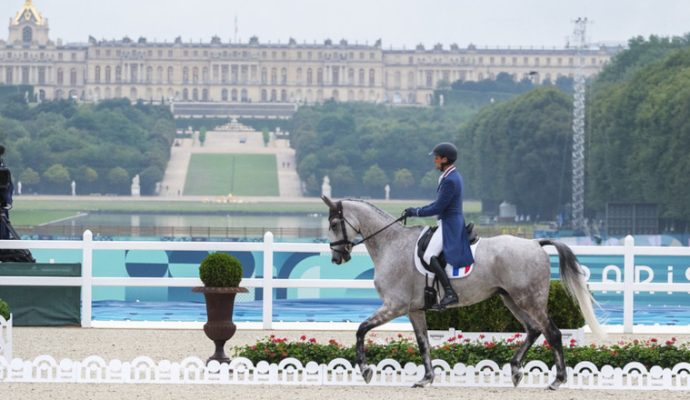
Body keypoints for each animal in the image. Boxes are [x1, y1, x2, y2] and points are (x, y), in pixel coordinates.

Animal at [322, 197, 600, 390]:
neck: (392, 245)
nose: (337, 257)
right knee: (533, 330)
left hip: (529, 299)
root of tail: (535, 243)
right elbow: (423, 343)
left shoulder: (394, 305)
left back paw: (557, 380)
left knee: (552, 332)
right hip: (510, 298)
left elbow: (361, 330)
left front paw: (366, 370)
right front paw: (426, 378)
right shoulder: (414, 309)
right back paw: (515, 371)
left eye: (334, 224)